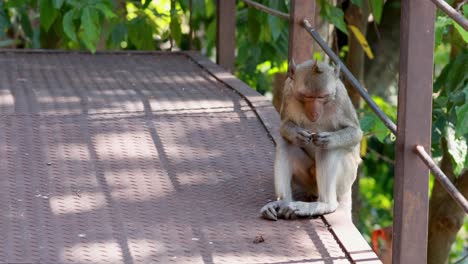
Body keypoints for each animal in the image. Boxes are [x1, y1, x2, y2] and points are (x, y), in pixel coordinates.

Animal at [262, 59, 360, 221]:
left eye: (321, 97)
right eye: (307, 96)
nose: (314, 112)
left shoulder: (341, 96)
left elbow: (356, 133)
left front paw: (329, 138)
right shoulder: (288, 90)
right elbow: (284, 125)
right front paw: (296, 134)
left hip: (347, 177)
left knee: (327, 149)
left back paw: (325, 204)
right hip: (309, 182)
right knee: (285, 142)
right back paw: (283, 202)